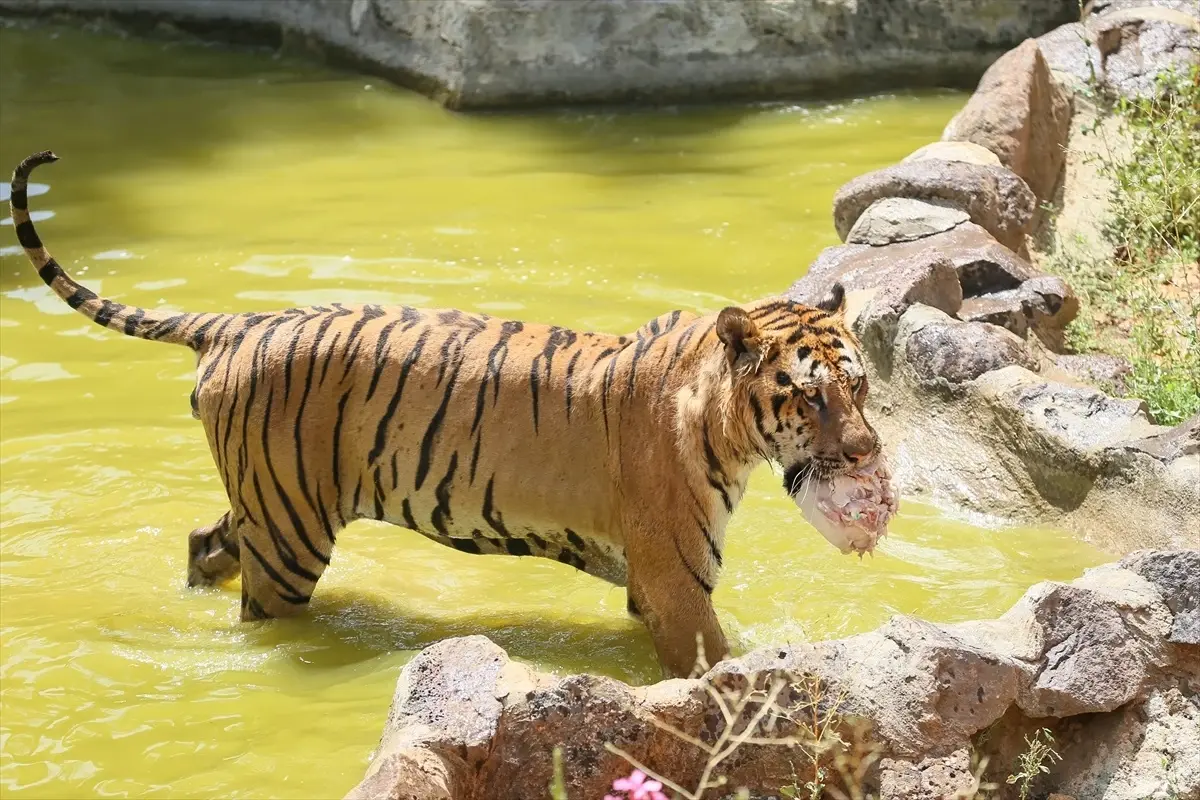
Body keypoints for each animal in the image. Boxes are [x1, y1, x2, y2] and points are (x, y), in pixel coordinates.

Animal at [4, 151, 878, 681]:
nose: (869, 452)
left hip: (266, 500)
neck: (724, 421)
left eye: (861, 386)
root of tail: (237, 322)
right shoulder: (675, 584)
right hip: (289, 532)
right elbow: (716, 665)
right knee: (259, 608)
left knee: (202, 540)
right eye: (808, 395)